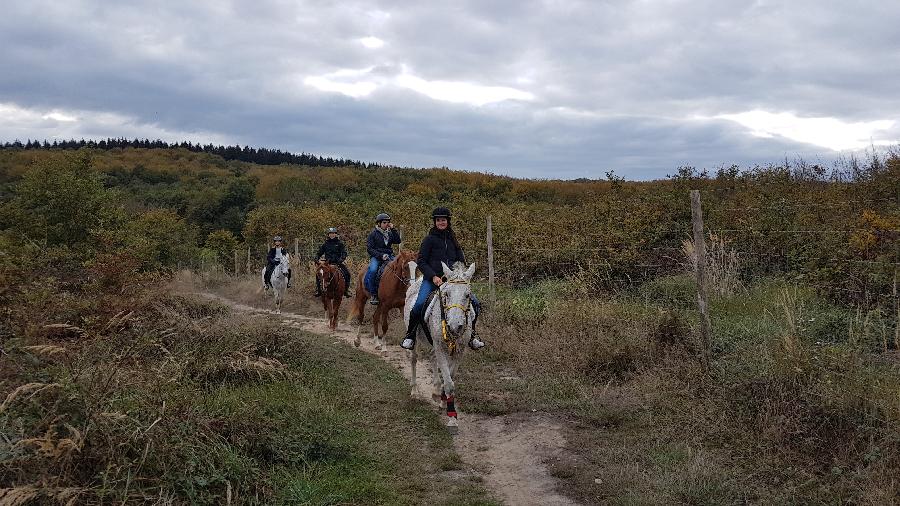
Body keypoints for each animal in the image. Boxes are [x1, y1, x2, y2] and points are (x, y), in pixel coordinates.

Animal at [406, 260, 478, 430]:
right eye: (447, 294)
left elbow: (449, 377)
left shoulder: (459, 351)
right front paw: (452, 418)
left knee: (433, 358)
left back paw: (436, 390)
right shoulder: (440, 347)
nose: (455, 326)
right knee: (414, 359)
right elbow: (449, 382)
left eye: (467, 295)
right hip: (416, 340)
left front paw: (444, 400)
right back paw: (415, 391)